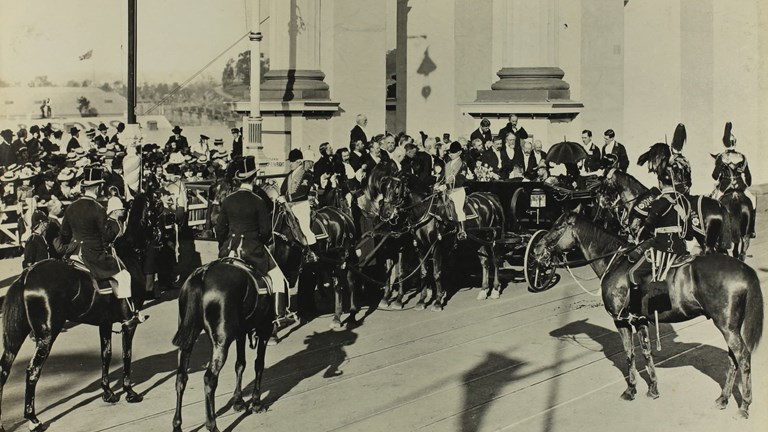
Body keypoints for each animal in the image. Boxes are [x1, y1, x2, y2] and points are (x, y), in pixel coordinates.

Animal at [0, 193, 160, 432]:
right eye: (158, 205)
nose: (160, 237)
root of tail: (26, 275)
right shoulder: (128, 323)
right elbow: (126, 354)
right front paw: (130, 392)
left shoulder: (105, 323)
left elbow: (106, 354)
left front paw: (108, 393)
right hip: (47, 335)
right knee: (32, 372)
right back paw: (33, 420)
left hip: (17, 335)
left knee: (4, 369)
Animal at [378, 174, 504, 308]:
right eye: (383, 189)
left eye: (397, 190)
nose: (385, 213)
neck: (426, 212)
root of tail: (491, 197)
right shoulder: (420, 247)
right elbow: (423, 273)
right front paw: (421, 301)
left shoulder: (436, 246)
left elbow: (436, 273)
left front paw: (437, 301)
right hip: (478, 240)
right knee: (485, 262)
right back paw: (483, 290)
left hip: (493, 238)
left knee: (496, 261)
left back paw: (495, 289)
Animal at [536, 213, 760, 418]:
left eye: (557, 226)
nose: (537, 250)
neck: (615, 262)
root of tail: (744, 269)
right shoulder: (640, 321)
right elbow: (646, 352)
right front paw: (653, 388)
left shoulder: (621, 321)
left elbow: (629, 354)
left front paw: (631, 389)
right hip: (731, 327)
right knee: (733, 358)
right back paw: (723, 398)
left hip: (726, 327)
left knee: (743, 357)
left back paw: (744, 406)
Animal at [596, 166, 728, 253]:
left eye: (604, 182)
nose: (602, 202)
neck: (637, 199)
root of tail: (718, 205)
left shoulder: (639, 235)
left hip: (705, 239)